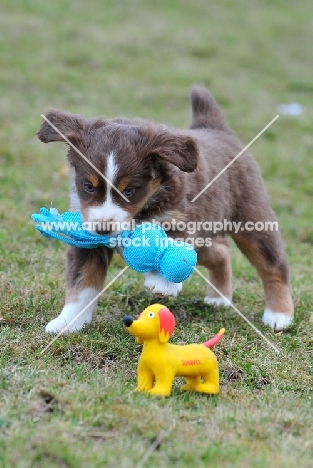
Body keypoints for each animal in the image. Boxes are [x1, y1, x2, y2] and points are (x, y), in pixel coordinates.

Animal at [36, 85, 292, 332]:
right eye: (88, 187)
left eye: (130, 191)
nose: (103, 230)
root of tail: (218, 130)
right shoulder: (88, 244)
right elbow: (82, 285)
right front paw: (68, 323)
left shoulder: (180, 216)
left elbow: (171, 247)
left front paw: (162, 282)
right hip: (206, 237)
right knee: (220, 252)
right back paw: (219, 299)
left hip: (252, 219)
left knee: (274, 267)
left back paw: (279, 315)